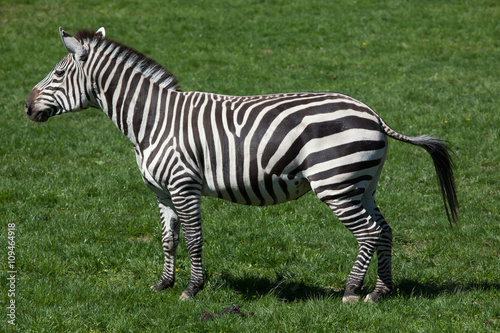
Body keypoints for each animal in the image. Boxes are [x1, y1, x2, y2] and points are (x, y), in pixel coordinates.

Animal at [25, 29, 458, 304]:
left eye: (59, 73)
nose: (26, 107)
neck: (153, 120)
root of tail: (373, 114)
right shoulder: (162, 191)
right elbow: (168, 239)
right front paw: (162, 285)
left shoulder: (183, 184)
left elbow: (193, 238)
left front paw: (191, 290)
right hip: (362, 184)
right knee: (384, 230)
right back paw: (380, 291)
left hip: (336, 184)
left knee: (368, 233)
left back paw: (352, 292)